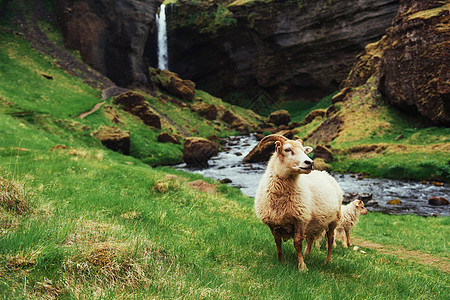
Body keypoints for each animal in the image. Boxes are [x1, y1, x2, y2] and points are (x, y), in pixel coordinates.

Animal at [253, 135, 344, 270]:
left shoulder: (300, 219)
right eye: (287, 149)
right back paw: (307, 254)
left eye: (304, 150)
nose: (310, 163)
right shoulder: (273, 223)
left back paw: (328, 261)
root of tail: (324, 173)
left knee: (330, 239)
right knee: (311, 238)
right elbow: (277, 241)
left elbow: (297, 243)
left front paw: (302, 267)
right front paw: (280, 260)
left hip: (333, 220)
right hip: (313, 222)